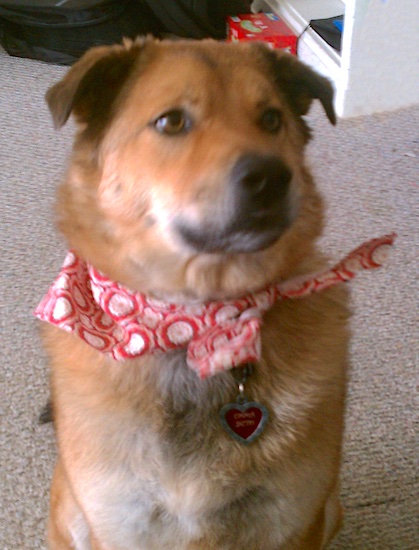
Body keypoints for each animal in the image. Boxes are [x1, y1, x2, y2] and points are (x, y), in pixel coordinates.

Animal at [37, 36, 352, 548]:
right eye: (171, 122)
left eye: (271, 119)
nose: (271, 177)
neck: (194, 324)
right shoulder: (119, 521)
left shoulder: (294, 520)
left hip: (331, 510)